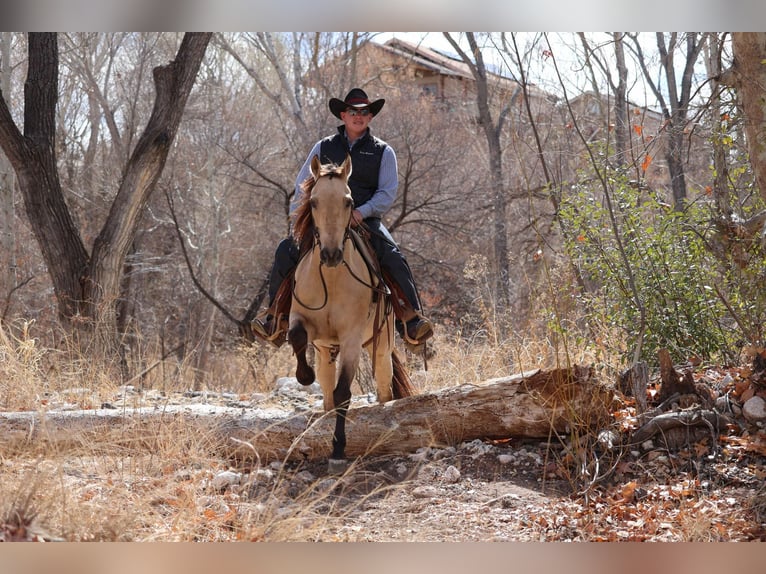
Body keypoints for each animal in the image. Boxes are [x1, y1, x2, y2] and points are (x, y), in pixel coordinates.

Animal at [288, 154, 414, 472]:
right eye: (314, 201)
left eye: (348, 201)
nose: (331, 254)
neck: (332, 279)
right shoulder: (305, 323)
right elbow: (297, 337)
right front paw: (304, 375)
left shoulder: (352, 339)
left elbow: (344, 393)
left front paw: (338, 449)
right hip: (325, 351)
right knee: (326, 394)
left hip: (381, 349)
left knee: (384, 393)